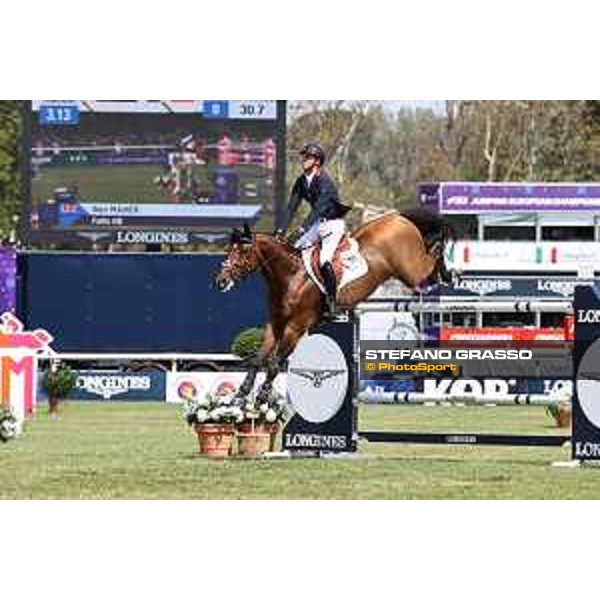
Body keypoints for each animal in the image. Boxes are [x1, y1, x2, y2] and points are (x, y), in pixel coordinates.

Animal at [213, 207, 452, 404]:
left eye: (243, 252)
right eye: (228, 250)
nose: (220, 282)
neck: (291, 277)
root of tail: (398, 217)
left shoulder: (296, 327)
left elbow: (274, 363)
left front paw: (262, 397)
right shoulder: (275, 324)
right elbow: (258, 358)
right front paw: (240, 396)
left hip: (411, 271)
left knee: (431, 262)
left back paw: (448, 270)